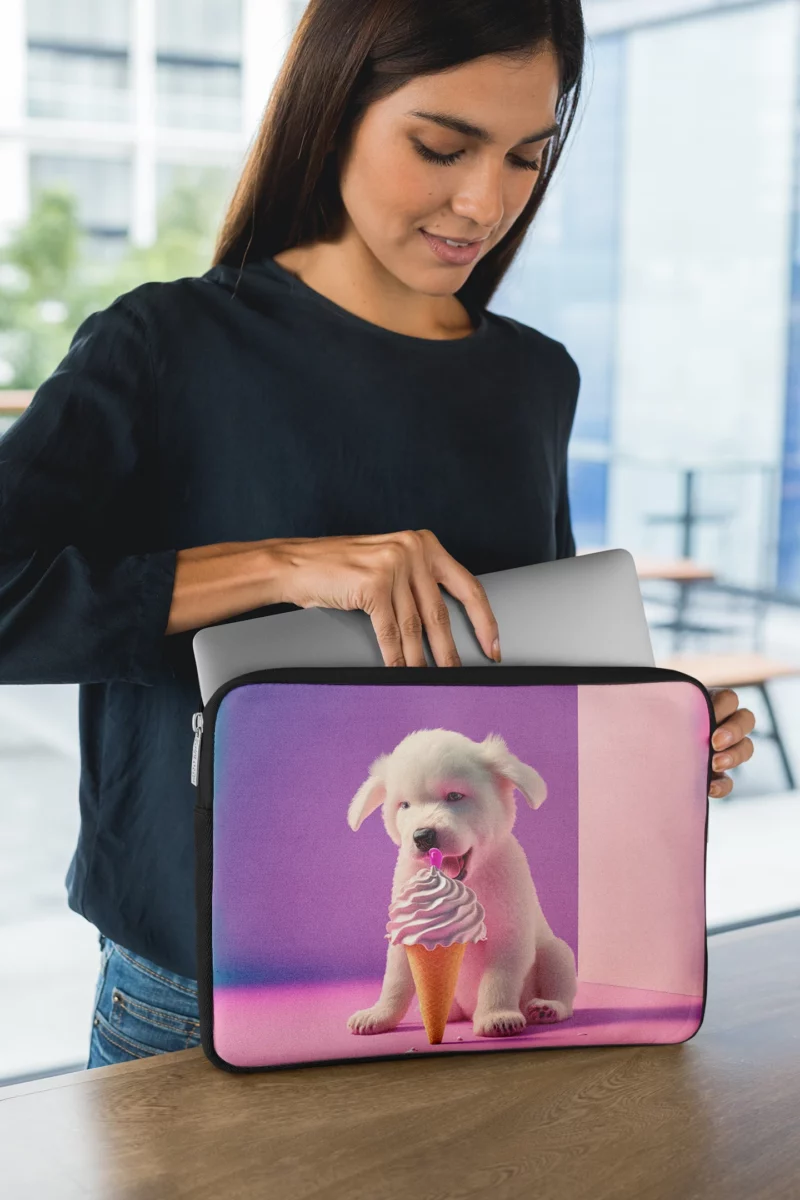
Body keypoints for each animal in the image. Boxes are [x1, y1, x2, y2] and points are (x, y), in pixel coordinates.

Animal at [347, 724, 578, 1036]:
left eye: (455, 796)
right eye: (404, 805)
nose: (423, 836)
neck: (467, 885)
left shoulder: (509, 935)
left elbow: (498, 980)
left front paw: (496, 1016)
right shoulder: (405, 934)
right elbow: (394, 982)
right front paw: (379, 1014)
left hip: (557, 952)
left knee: (562, 989)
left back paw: (547, 1008)